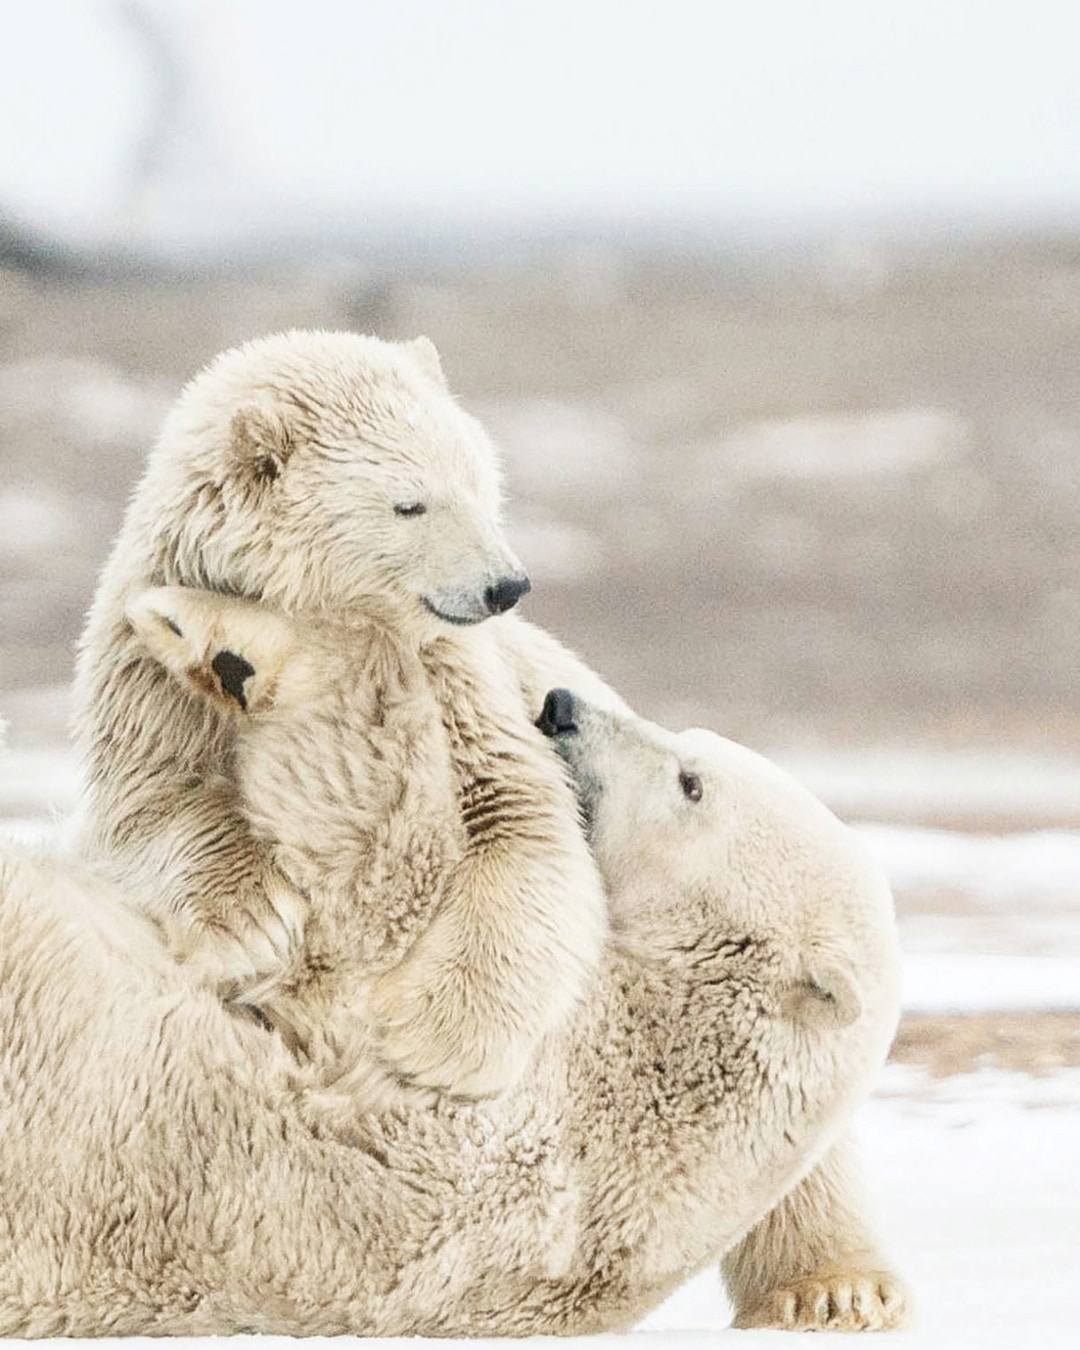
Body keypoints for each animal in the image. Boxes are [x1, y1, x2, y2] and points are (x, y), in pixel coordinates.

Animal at [72, 330, 621, 1097]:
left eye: (482, 480)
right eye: (410, 505)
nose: (506, 586)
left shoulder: (457, 677)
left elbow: (516, 808)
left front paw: (437, 1035)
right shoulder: (143, 661)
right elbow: (147, 794)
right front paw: (253, 918)